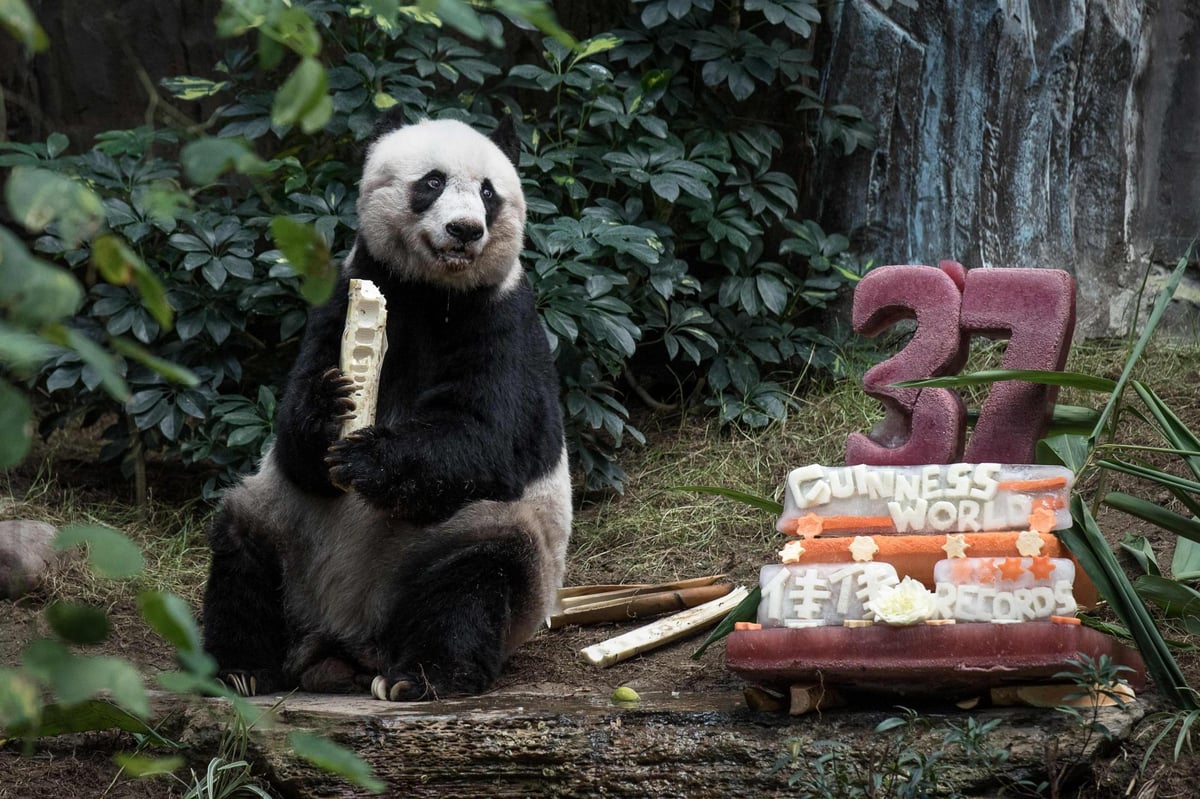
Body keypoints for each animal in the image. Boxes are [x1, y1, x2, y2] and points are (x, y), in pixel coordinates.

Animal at [200, 114, 572, 701]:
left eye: (489, 193)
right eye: (432, 182)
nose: (465, 230)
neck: (431, 294)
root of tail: (346, 639)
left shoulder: (502, 318)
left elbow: (487, 435)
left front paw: (367, 459)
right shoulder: (341, 299)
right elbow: (296, 447)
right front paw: (331, 408)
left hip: (466, 544)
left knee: (476, 575)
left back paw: (425, 675)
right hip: (285, 529)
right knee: (243, 551)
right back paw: (242, 667)